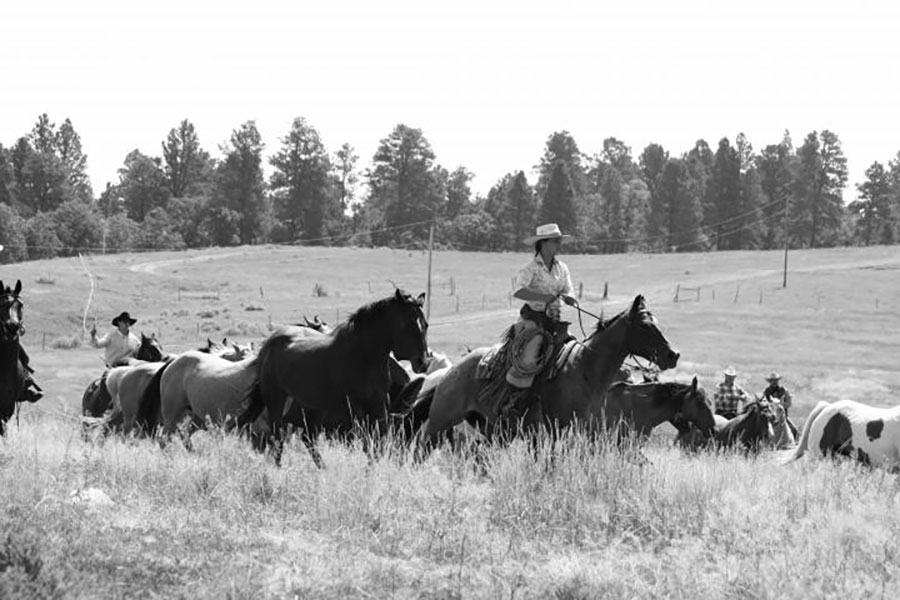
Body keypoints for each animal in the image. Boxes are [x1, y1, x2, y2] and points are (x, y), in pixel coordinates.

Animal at [238, 289, 429, 467]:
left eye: (425, 324)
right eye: (408, 324)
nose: (423, 362)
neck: (364, 357)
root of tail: (269, 344)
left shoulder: (379, 406)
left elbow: (377, 444)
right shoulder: (355, 409)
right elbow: (367, 444)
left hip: (314, 407)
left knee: (307, 438)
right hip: (276, 400)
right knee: (278, 437)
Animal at [412, 295, 680, 453]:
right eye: (644, 326)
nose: (673, 355)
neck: (584, 370)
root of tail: (450, 372)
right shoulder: (551, 430)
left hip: (493, 429)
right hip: (440, 421)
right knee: (422, 448)